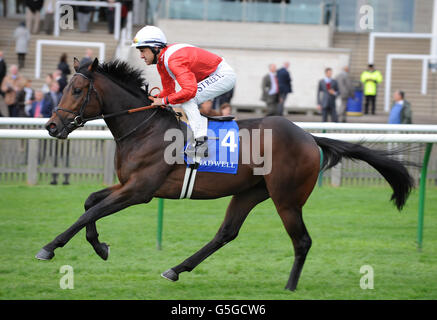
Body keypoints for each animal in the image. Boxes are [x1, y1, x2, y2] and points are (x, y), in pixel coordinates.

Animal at [35, 57, 412, 290]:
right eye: (66, 87)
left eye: (77, 90)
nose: (51, 126)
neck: (143, 128)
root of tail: (308, 136)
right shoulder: (128, 184)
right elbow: (90, 202)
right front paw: (100, 247)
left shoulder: (140, 190)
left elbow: (92, 211)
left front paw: (50, 247)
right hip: (250, 191)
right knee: (226, 233)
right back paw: (176, 269)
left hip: (287, 198)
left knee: (301, 241)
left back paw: (290, 286)